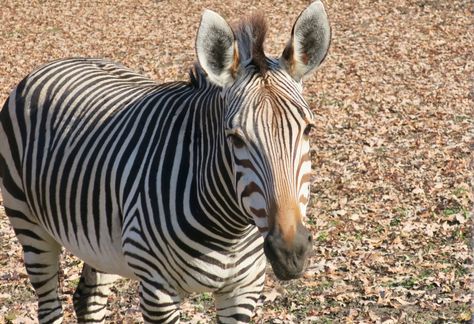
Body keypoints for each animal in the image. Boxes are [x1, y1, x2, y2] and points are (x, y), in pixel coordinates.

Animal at [0, 1, 330, 322]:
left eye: (308, 130)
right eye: (235, 138)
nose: (291, 252)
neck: (229, 231)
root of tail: (57, 62)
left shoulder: (243, 290)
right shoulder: (157, 290)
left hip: (100, 242)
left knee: (88, 300)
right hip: (30, 227)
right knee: (49, 305)